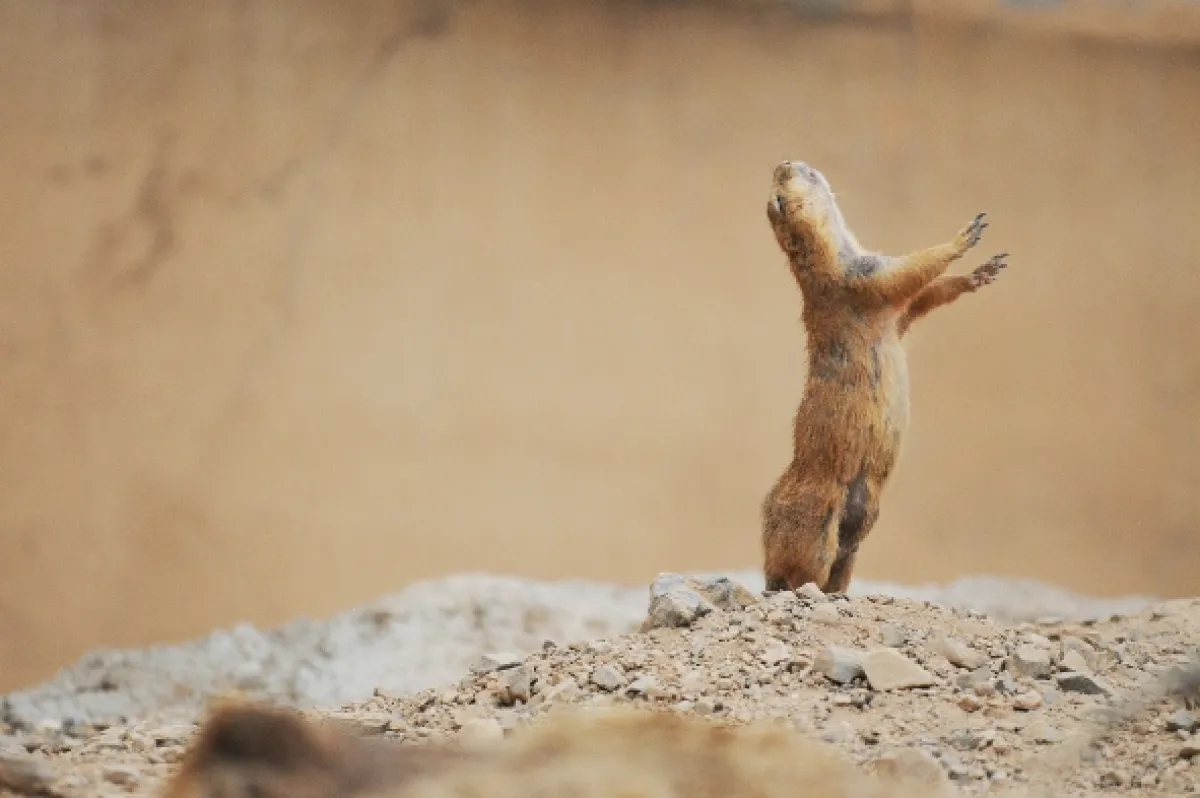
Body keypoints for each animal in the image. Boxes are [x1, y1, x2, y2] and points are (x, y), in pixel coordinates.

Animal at [760, 160, 1008, 595]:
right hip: (816, 520)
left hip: (858, 535)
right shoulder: (857, 276)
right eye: (779, 189)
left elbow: (918, 300)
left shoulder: (879, 294)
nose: (785, 162)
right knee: (797, 571)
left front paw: (982, 272)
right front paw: (964, 236)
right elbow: (904, 274)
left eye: (782, 176)